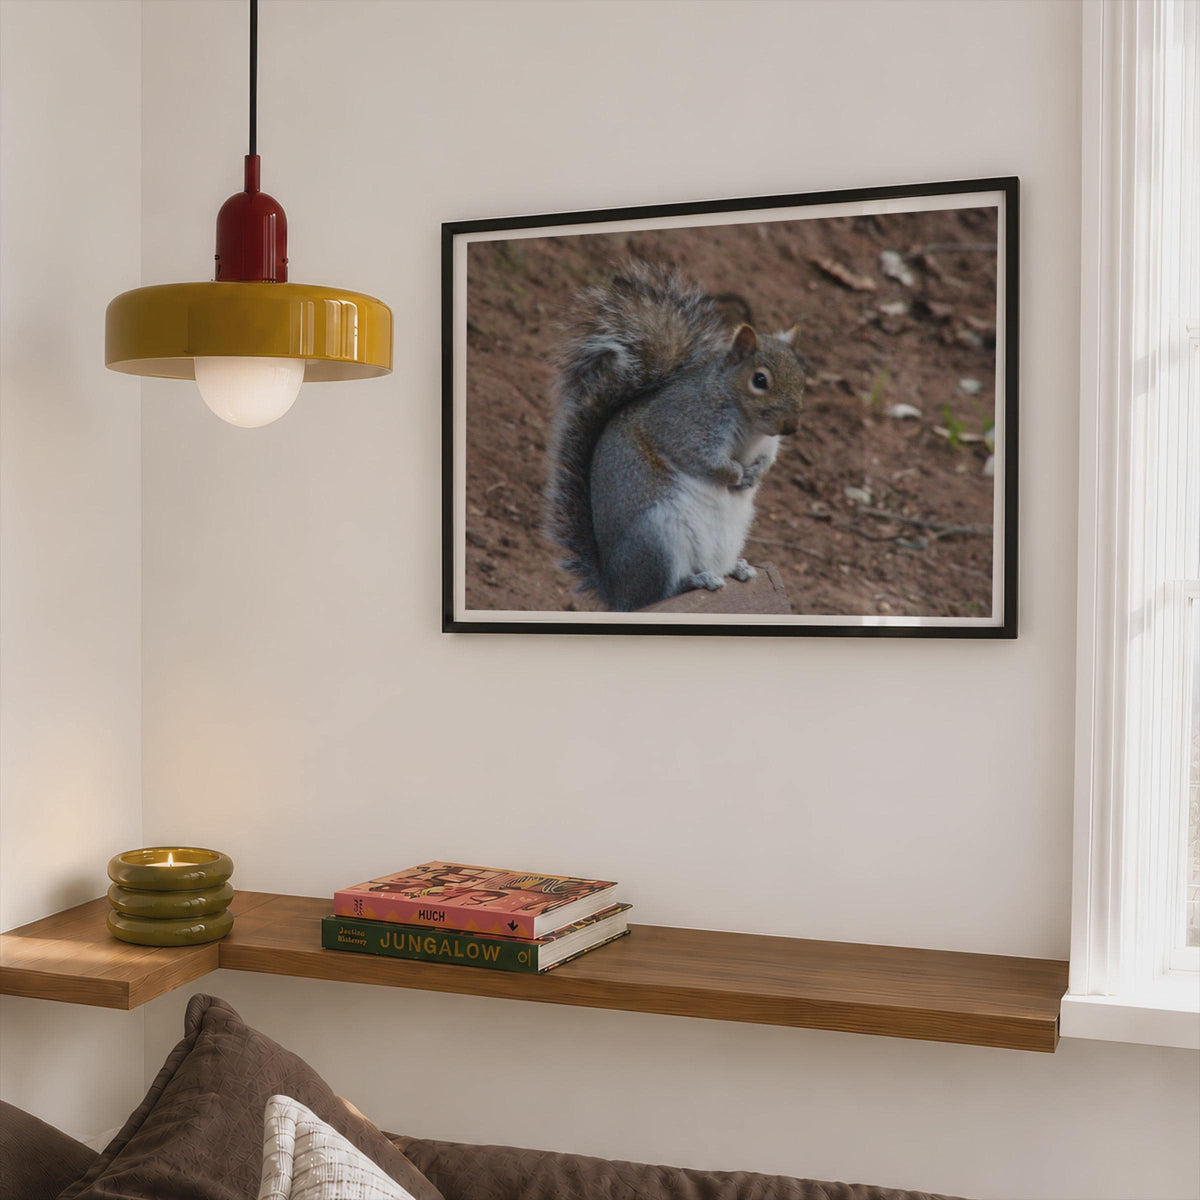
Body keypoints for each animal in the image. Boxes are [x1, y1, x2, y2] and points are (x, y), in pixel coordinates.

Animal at [544, 262, 806, 612]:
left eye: (801, 376)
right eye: (760, 380)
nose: (791, 426)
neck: (750, 427)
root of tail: (618, 593)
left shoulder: (768, 443)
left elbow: (768, 460)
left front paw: (754, 475)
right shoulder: (681, 425)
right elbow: (702, 459)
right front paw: (735, 474)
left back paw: (735, 568)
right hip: (658, 538)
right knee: (663, 592)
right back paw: (696, 580)